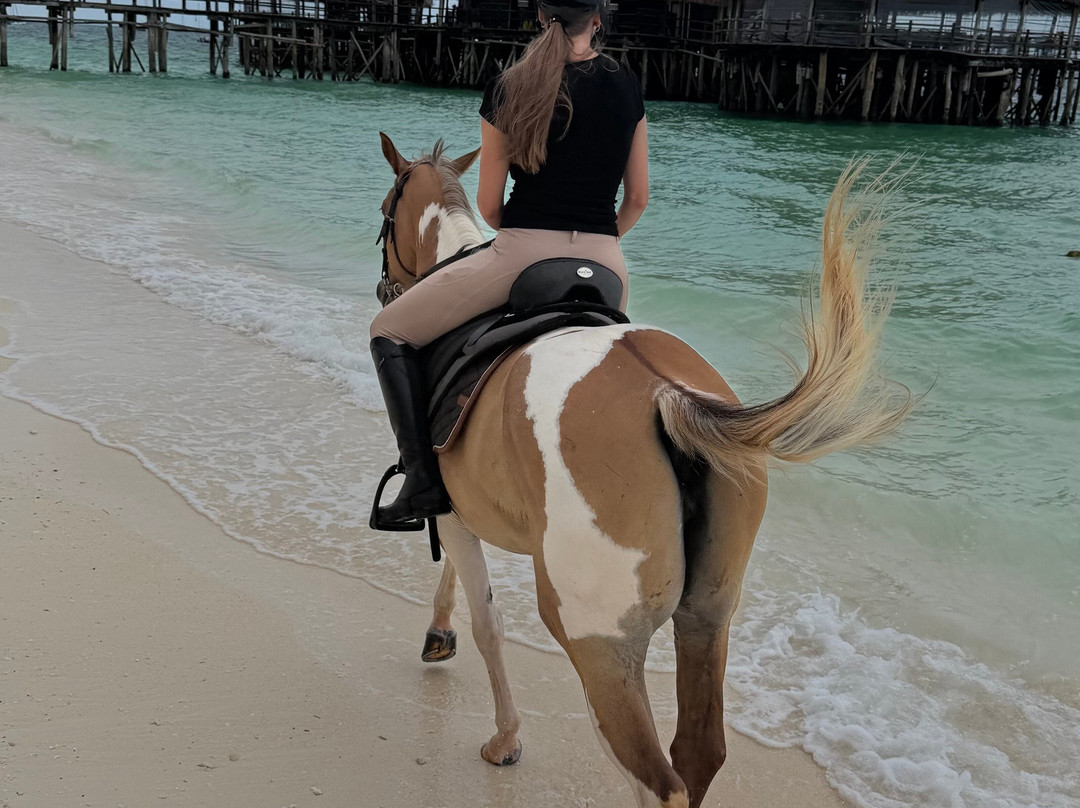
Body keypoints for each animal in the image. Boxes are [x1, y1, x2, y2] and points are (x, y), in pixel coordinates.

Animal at [373, 132, 910, 808]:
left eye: (385, 213)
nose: (386, 289)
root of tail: (669, 394)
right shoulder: (461, 511)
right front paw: (440, 636)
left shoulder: (452, 513)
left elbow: (487, 622)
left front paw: (504, 735)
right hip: (708, 619)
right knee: (699, 753)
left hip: (599, 644)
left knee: (658, 782)